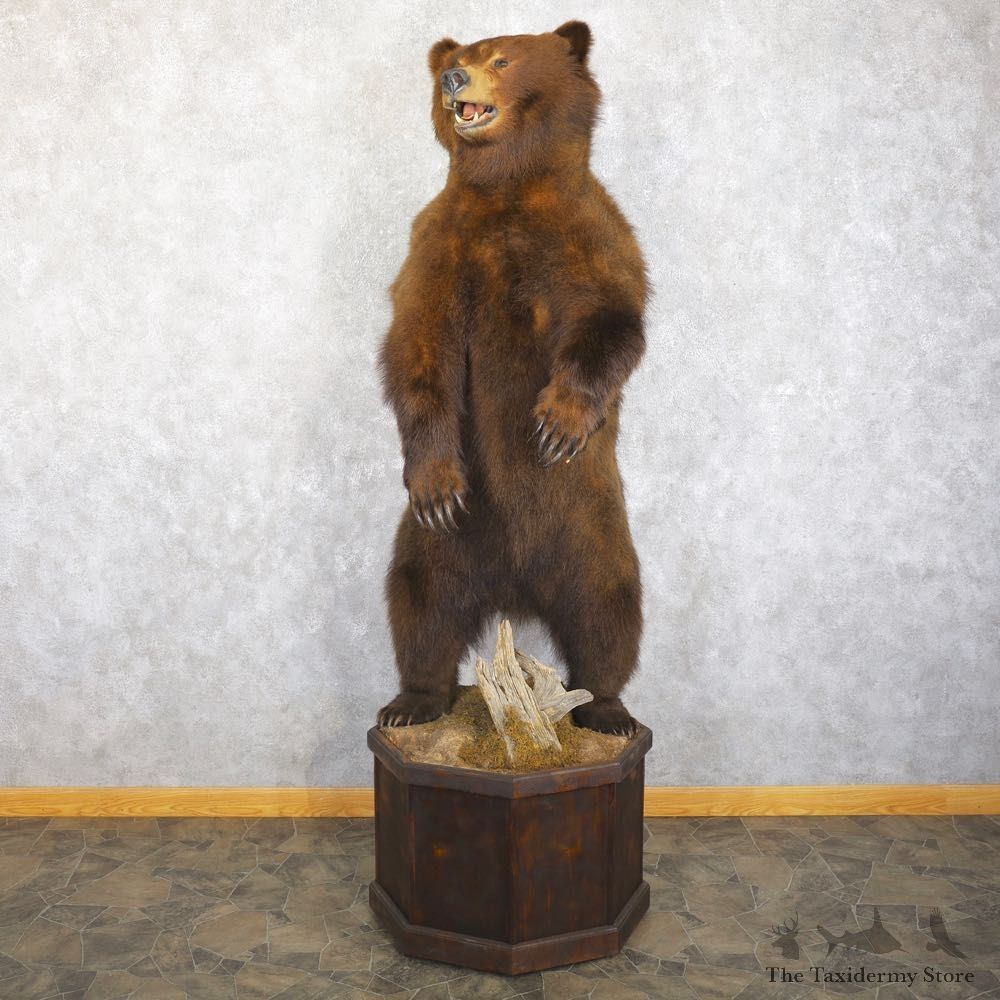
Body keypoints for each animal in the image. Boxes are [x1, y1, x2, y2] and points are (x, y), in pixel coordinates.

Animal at [376, 21, 648, 736]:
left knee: (609, 608)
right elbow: (419, 347)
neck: (508, 187)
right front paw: (435, 479)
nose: (453, 78)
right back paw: (411, 702)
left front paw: (558, 424)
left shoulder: (591, 235)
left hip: (593, 527)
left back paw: (608, 709)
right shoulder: (440, 244)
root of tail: (514, 590)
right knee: (420, 604)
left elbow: (612, 322)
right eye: (459, 57)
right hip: (439, 542)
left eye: (501, 58)